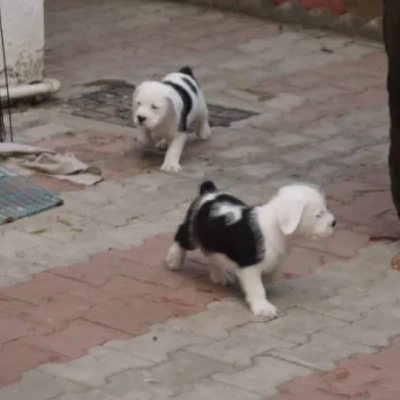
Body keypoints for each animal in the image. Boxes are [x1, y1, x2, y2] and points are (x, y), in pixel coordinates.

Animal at [164, 180, 336, 318]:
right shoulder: (249, 267)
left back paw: (220, 276)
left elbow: (271, 275)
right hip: (192, 233)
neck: (275, 228)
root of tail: (210, 193)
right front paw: (263, 307)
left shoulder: (274, 261)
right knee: (180, 237)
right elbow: (257, 287)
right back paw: (173, 260)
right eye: (318, 214)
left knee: (213, 256)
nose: (334, 223)